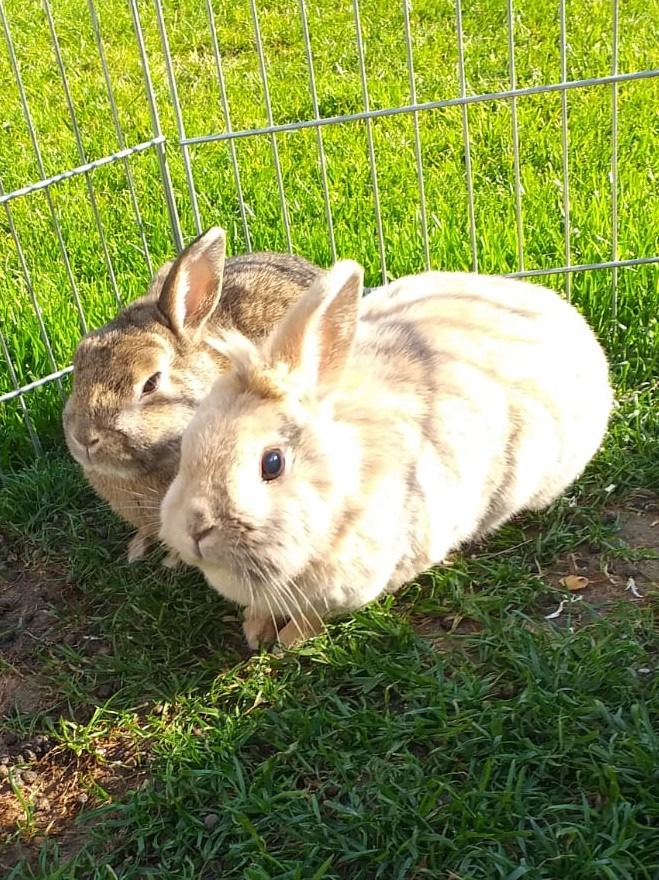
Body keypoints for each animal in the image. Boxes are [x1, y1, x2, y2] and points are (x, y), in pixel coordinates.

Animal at [160, 258, 612, 648]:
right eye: (187, 448)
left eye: (272, 463)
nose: (196, 528)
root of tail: (563, 310)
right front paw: (255, 630)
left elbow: (314, 617)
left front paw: (287, 641)